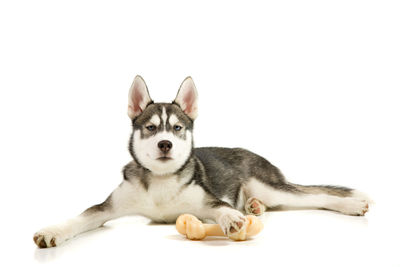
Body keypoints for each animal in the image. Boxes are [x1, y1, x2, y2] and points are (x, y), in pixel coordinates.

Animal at [32, 75, 370, 249]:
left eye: (177, 128)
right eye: (150, 128)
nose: (165, 143)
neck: (161, 182)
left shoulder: (207, 201)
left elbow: (221, 208)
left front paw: (232, 218)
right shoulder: (107, 208)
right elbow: (79, 217)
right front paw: (52, 231)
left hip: (271, 186)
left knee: (318, 196)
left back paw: (351, 205)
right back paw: (254, 207)